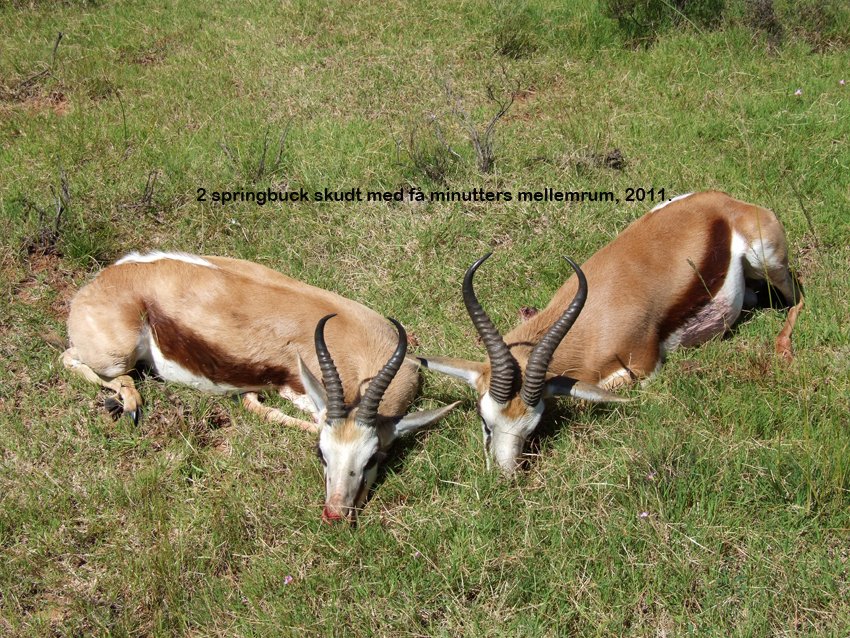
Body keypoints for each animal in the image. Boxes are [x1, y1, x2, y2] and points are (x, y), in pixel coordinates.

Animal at [62, 252, 458, 522]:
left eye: (374, 456)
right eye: (320, 453)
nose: (335, 512)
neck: (362, 341)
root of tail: (106, 276)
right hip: (117, 357)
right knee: (70, 359)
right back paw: (127, 404)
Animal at [418, 191, 803, 475]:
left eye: (532, 428)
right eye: (485, 421)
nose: (505, 476)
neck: (592, 322)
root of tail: (724, 203)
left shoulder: (645, 367)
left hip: (770, 264)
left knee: (797, 299)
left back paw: (783, 350)